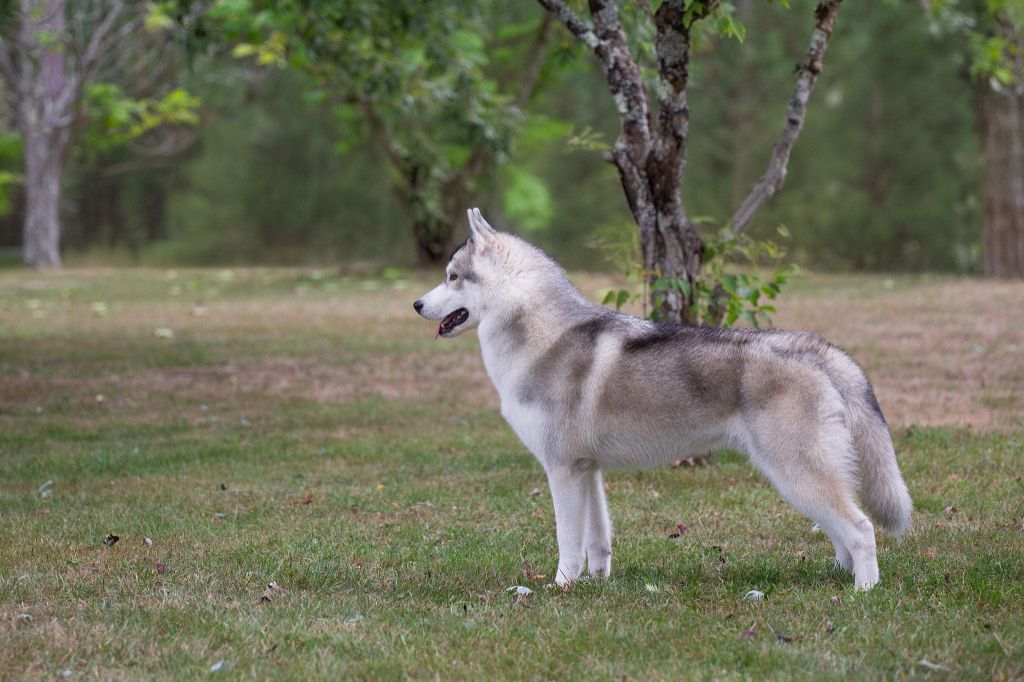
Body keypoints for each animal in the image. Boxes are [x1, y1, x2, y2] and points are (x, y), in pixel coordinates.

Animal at [413, 206, 913, 589]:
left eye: (452, 277)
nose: (416, 304)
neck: (539, 334)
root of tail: (814, 347)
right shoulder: (587, 470)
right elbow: (598, 541)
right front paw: (596, 584)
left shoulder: (562, 469)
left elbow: (567, 542)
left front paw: (560, 587)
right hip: (799, 480)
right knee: (841, 532)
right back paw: (838, 578)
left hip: (795, 474)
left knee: (862, 528)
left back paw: (865, 591)